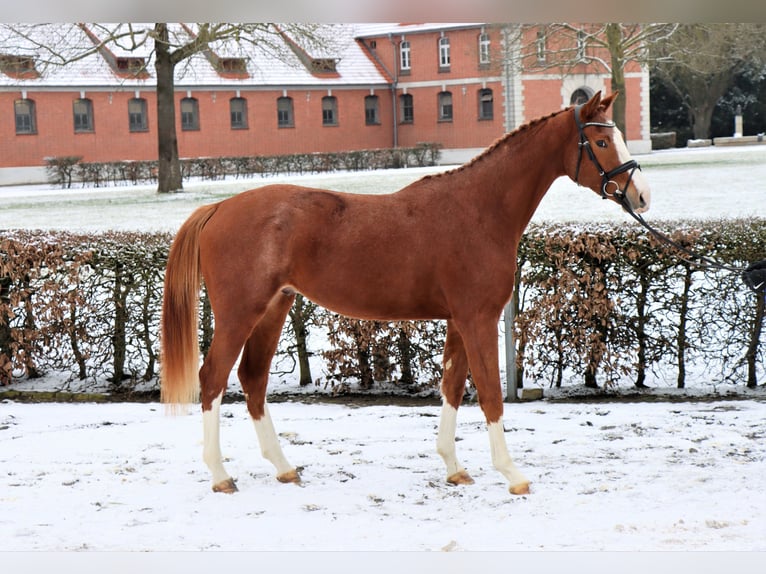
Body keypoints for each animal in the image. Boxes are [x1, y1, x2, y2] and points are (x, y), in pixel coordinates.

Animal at [159, 92, 652, 498]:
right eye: (602, 142)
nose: (642, 196)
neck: (479, 209)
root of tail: (218, 208)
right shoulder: (478, 318)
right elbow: (490, 393)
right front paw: (512, 474)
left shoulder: (458, 320)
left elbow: (452, 386)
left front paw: (454, 468)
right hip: (240, 313)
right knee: (213, 379)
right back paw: (220, 475)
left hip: (273, 308)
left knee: (253, 379)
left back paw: (284, 468)